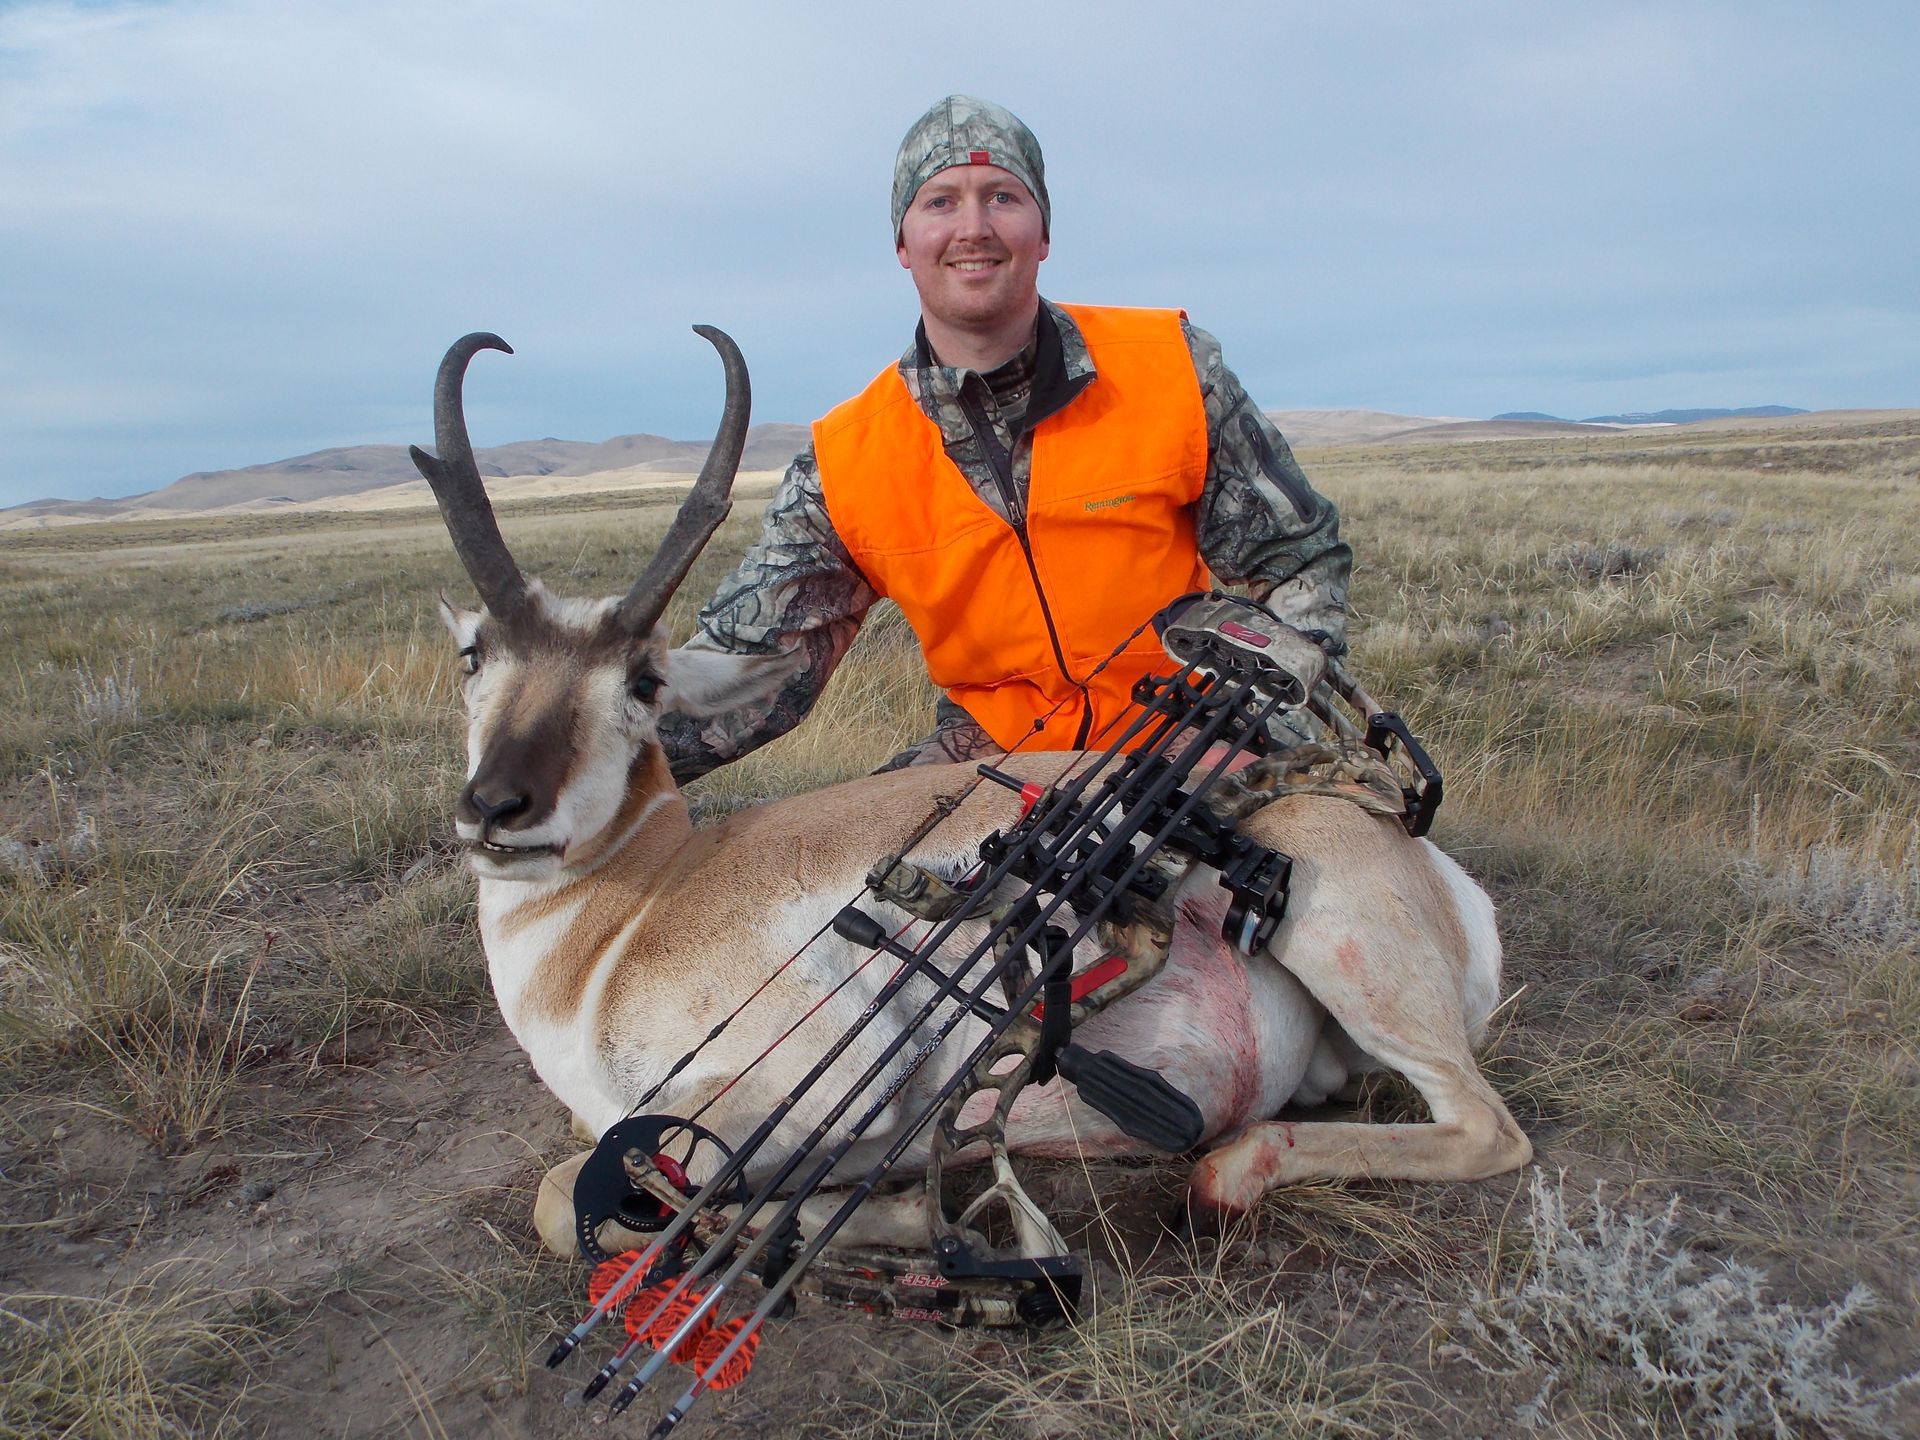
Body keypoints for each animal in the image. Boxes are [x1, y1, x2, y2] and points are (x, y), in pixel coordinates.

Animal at [411, 328, 1532, 1261]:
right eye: (475, 655)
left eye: (641, 683)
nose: (499, 809)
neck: (635, 911)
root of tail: (1434, 866)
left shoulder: (782, 1090)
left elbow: (581, 1193)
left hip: (1343, 948)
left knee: (1488, 1129)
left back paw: (1221, 1170)